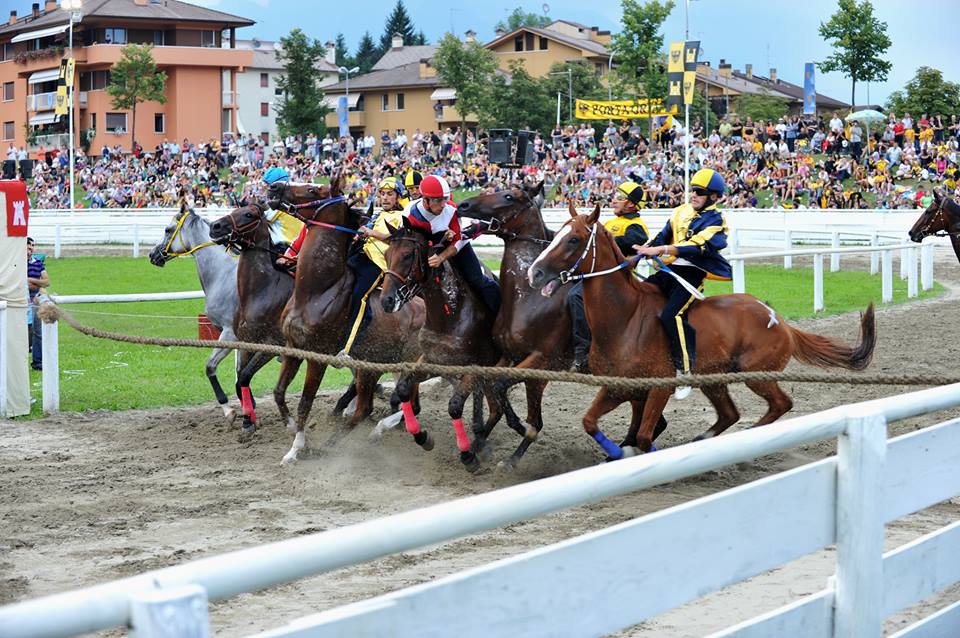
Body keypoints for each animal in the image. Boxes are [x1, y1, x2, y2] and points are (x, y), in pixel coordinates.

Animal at [150, 202, 242, 422]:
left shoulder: (229, 334)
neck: (224, 275)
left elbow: (210, 367)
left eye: (167, 229)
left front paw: (228, 408)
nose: (152, 254)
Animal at [266, 178, 424, 468]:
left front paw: (296, 448)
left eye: (313, 189)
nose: (273, 188)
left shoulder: (317, 357)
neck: (316, 290)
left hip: (404, 366)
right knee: (366, 408)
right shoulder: (293, 347)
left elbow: (305, 402)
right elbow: (279, 392)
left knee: (409, 405)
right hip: (371, 367)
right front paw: (292, 428)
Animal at [378, 221, 506, 476]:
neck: (451, 315)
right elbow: (404, 388)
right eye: (386, 255)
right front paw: (422, 436)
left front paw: (467, 455)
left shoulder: (474, 367)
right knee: (494, 407)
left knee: (497, 408)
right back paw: (480, 439)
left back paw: (478, 445)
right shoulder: (434, 360)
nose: (386, 300)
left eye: (407, 255)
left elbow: (455, 406)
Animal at [458, 182, 668, 468]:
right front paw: (479, 443)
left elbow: (515, 402)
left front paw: (515, 442)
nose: (463, 205)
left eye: (509, 196)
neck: (528, 298)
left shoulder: (541, 362)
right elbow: (491, 384)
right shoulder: (509, 356)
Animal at [524, 205, 876, 460]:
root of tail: (780, 321)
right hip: (714, 379)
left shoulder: (660, 388)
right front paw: (618, 452)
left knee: (780, 404)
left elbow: (643, 436)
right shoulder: (619, 387)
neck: (626, 319)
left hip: (757, 374)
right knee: (730, 413)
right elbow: (591, 422)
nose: (534, 272)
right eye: (556, 235)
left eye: (573, 239)